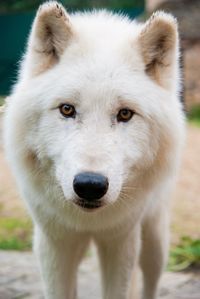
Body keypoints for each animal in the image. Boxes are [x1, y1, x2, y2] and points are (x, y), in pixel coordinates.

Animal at [3, 2, 184, 299]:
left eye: (125, 114)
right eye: (67, 109)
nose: (89, 185)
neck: (90, 223)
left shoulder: (121, 242)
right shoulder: (54, 243)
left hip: (155, 241)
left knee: (150, 282)